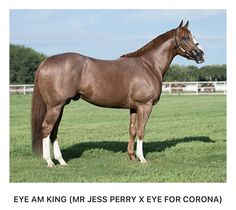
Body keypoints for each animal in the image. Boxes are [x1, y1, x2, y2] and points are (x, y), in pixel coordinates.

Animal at [31, 20, 205, 167]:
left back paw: (61, 161)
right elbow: (141, 130)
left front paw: (132, 156)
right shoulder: (145, 106)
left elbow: (132, 130)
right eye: (185, 38)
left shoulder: (134, 107)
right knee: (46, 129)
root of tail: (46, 62)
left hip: (60, 106)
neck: (149, 65)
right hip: (55, 106)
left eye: (192, 36)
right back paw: (50, 162)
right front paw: (142, 158)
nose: (201, 54)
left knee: (54, 131)